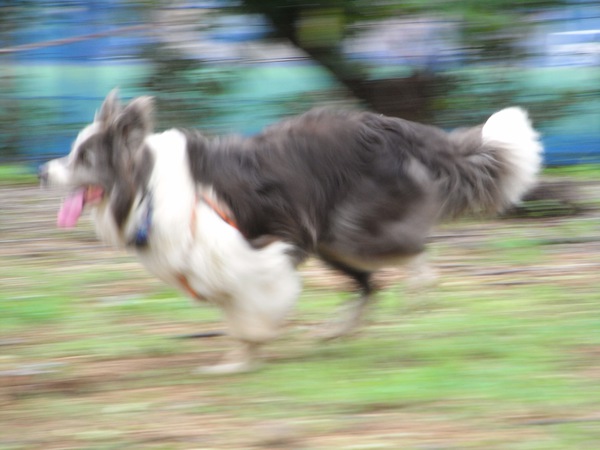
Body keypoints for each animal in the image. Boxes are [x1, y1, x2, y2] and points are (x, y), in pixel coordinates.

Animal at [38, 90, 544, 372]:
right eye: (73, 151)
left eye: (84, 157)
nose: (43, 172)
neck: (145, 190)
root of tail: (398, 127)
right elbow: (237, 321)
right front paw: (239, 361)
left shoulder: (256, 252)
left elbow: (252, 315)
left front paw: (246, 356)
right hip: (328, 240)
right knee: (370, 284)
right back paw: (334, 332)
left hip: (350, 229)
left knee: (411, 255)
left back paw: (417, 288)